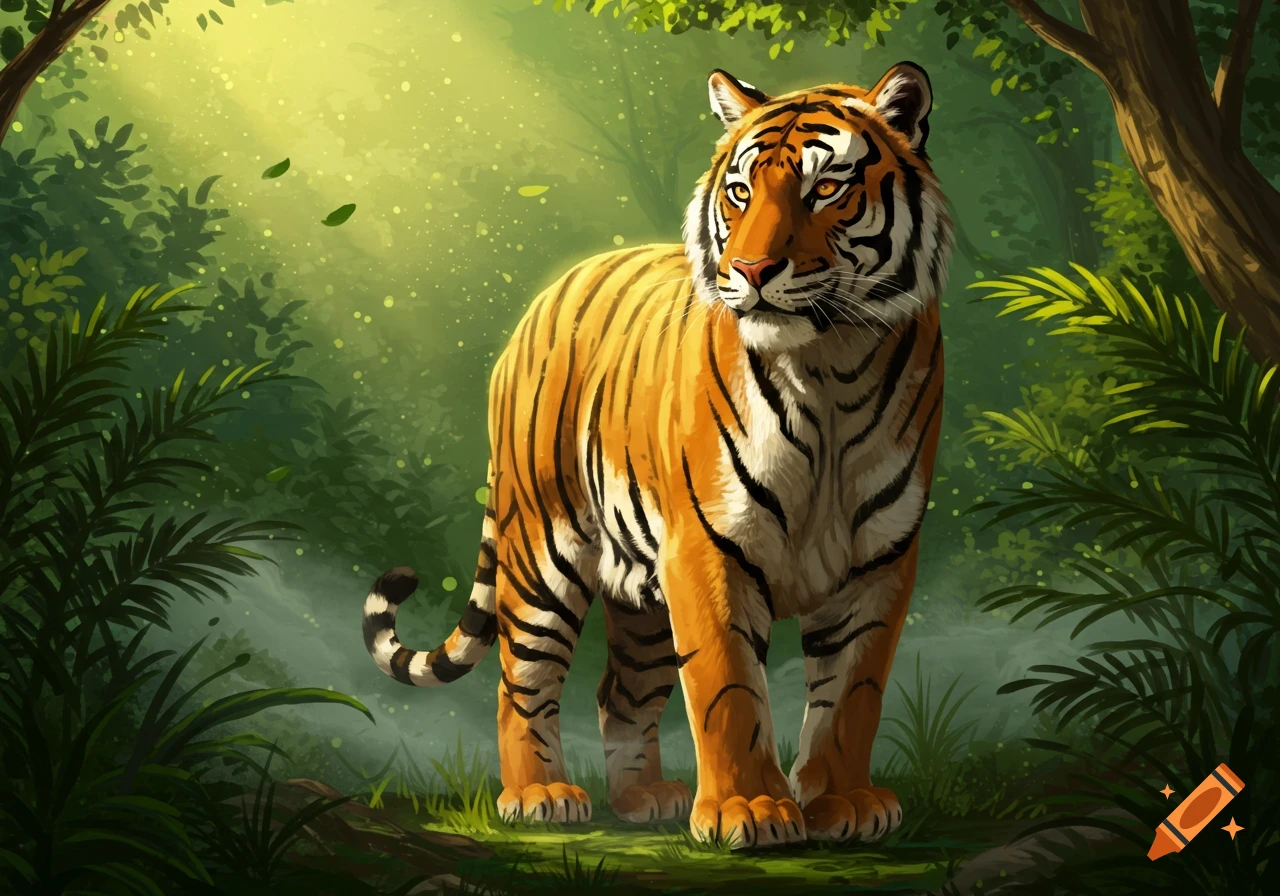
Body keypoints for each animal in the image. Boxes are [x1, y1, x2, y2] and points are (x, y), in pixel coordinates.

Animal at [361, 61, 952, 849]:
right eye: (741, 191)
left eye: (826, 188)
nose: (752, 269)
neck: (832, 368)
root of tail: (546, 295)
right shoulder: (708, 548)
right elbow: (729, 685)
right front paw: (749, 810)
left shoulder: (880, 557)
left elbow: (852, 692)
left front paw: (842, 804)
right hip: (542, 549)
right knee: (521, 679)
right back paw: (539, 795)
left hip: (638, 590)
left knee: (621, 691)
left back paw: (641, 797)